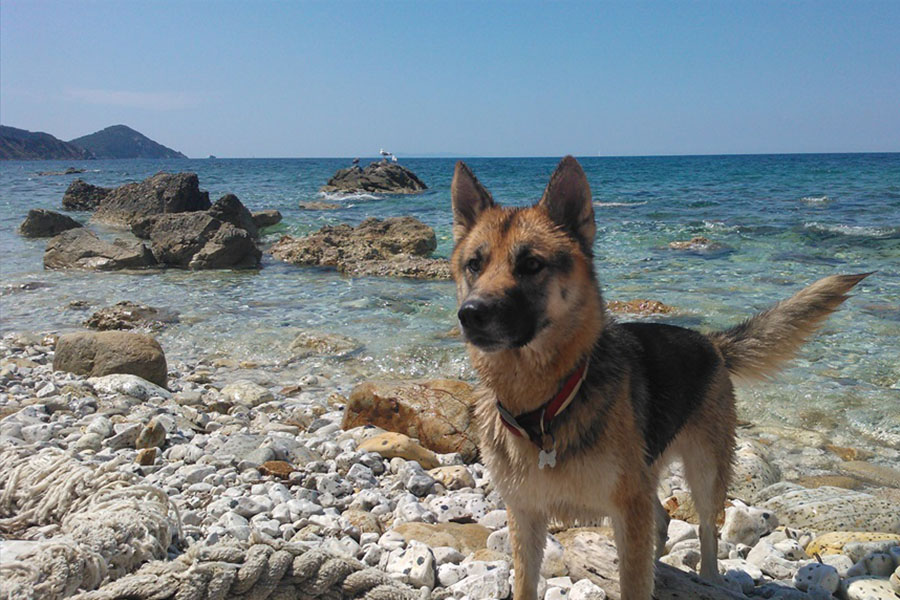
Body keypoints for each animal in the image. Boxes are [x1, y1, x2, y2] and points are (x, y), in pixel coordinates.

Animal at [454, 156, 868, 600]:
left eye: (531, 264)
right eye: (474, 264)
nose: (471, 314)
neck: (547, 404)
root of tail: (710, 342)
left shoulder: (627, 506)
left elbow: (636, 579)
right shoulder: (527, 516)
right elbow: (526, 584)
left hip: (703, 472)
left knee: (706, 530)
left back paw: (708, 578)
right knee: (662, 522)